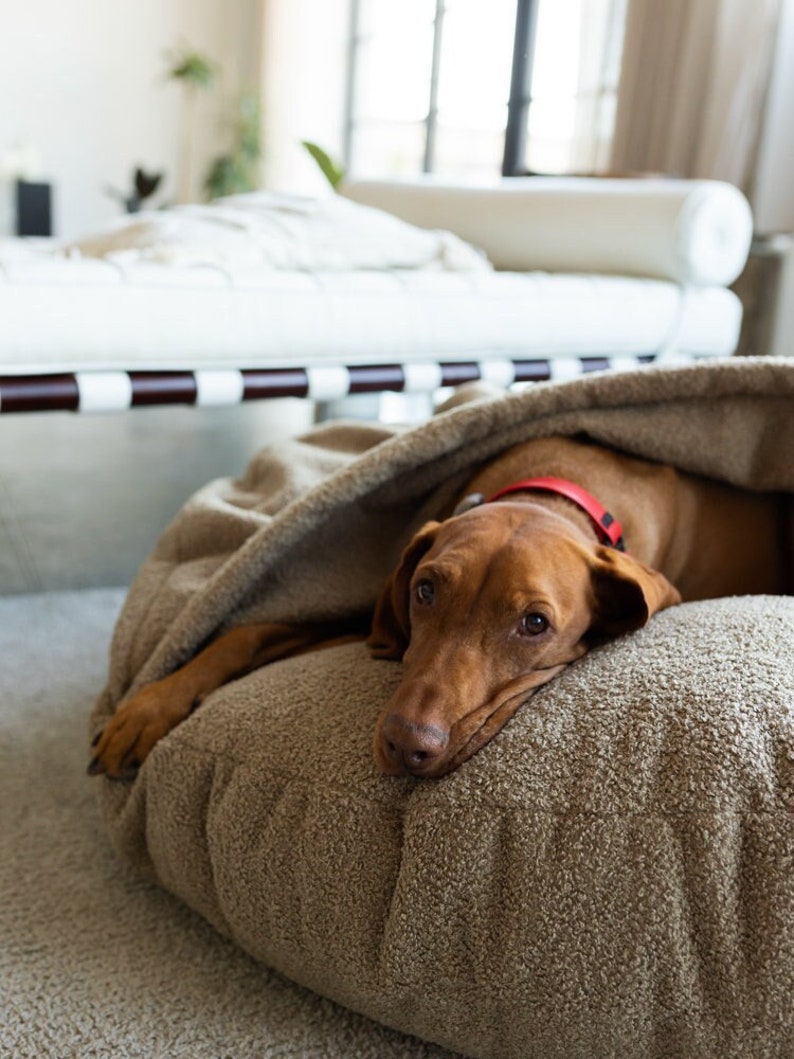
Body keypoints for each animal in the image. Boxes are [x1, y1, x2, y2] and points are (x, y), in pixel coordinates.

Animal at [88, 434, 791, 783]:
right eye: (425, 590)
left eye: (534, 624)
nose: (407, 746)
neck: (556, 486)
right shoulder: (382, 623)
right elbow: (248, 632)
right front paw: (147, 710)